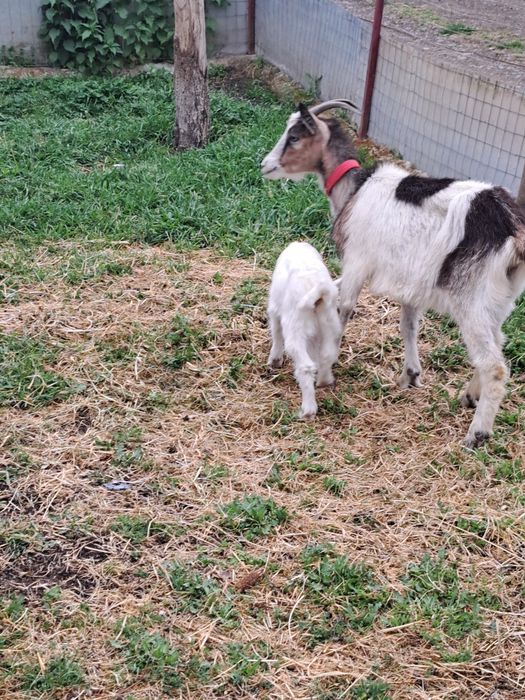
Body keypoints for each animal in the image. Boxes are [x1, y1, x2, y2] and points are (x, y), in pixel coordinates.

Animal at [267, 241, 342, 419]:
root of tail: (318, 295)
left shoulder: (274, 308)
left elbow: (276, 333)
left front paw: (274, 361)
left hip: (295, 331)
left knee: (306, 367)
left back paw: (308, 410)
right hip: (331, 326)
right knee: (327, 355)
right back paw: (324, 381)